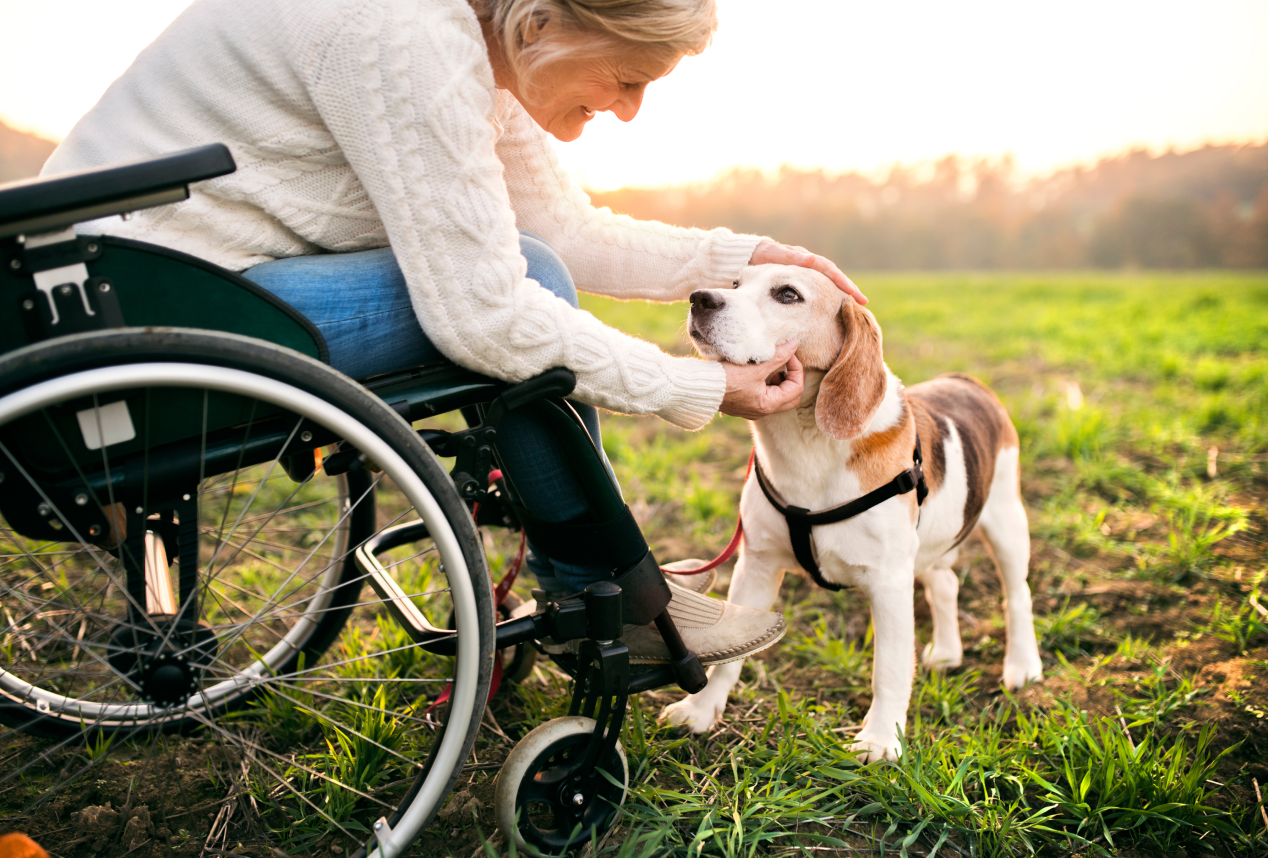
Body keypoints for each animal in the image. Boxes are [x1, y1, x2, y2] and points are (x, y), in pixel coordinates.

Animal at [664, 264, 1039, 760]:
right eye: (734, 285)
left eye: (788, 294)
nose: (699, 298)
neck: (805, 442)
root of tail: (964, 379)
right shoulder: (757, 565)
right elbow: (732, 653)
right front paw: (701, 710)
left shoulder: (889, 583)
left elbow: (890, 670)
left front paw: (881, 741)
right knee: (946, 584)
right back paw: (946, 653)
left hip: (1006, 524)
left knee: (1018, 596)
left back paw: (1023, 666)